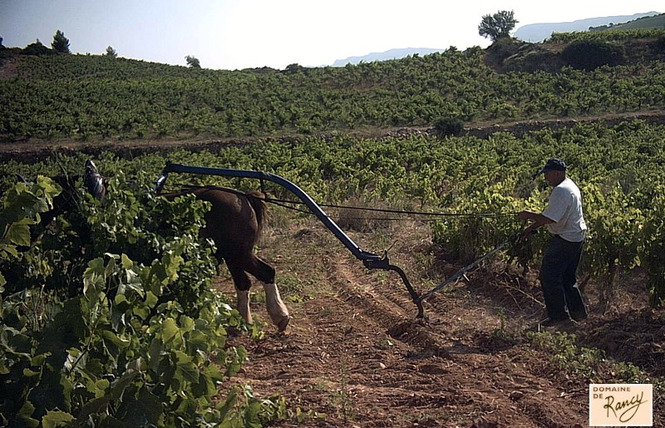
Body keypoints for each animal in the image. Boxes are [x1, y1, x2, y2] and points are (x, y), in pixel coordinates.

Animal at [160, 186, 290, 332]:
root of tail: (245, 197)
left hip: (237, 254)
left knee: (265, 272)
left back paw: (279, 315)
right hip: (233, 258)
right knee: (244, 281)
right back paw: (244, 319)